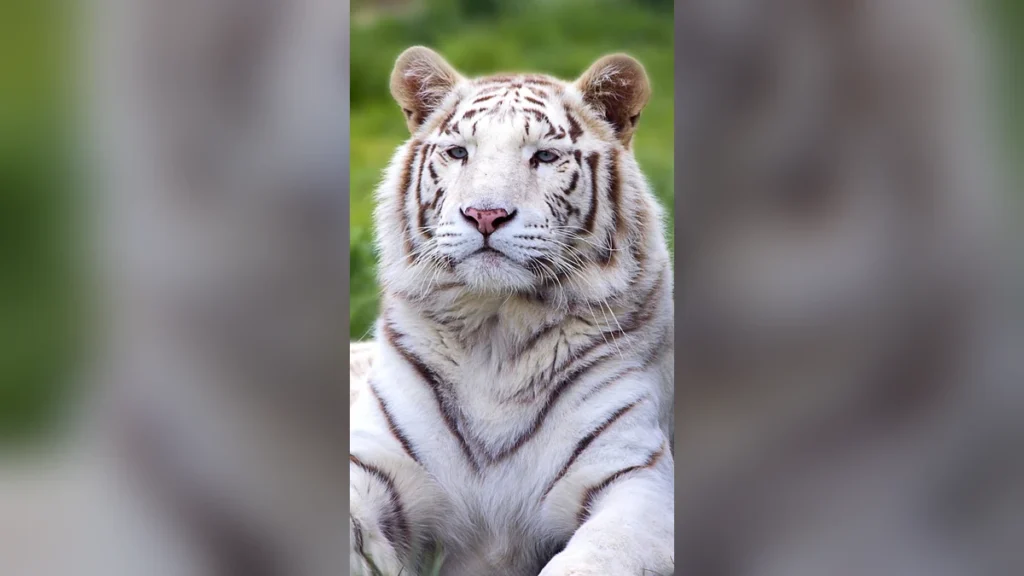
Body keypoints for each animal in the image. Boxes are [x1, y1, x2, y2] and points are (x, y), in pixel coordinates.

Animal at [349, 47, 675, 576]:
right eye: (459, 152)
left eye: (543, 156)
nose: (485, 215)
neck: (496, 331)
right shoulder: (375, 462)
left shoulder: (634, 480)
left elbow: (591, 560)